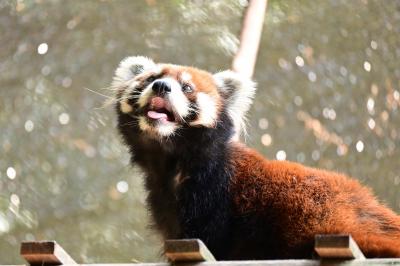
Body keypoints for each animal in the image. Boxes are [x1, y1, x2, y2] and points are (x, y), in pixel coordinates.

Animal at [112, 56, 400, 260]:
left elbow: (210, 237)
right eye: (151, 78)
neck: (173, 163)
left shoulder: (214, 193)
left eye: (187, 87)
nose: (161, 86)